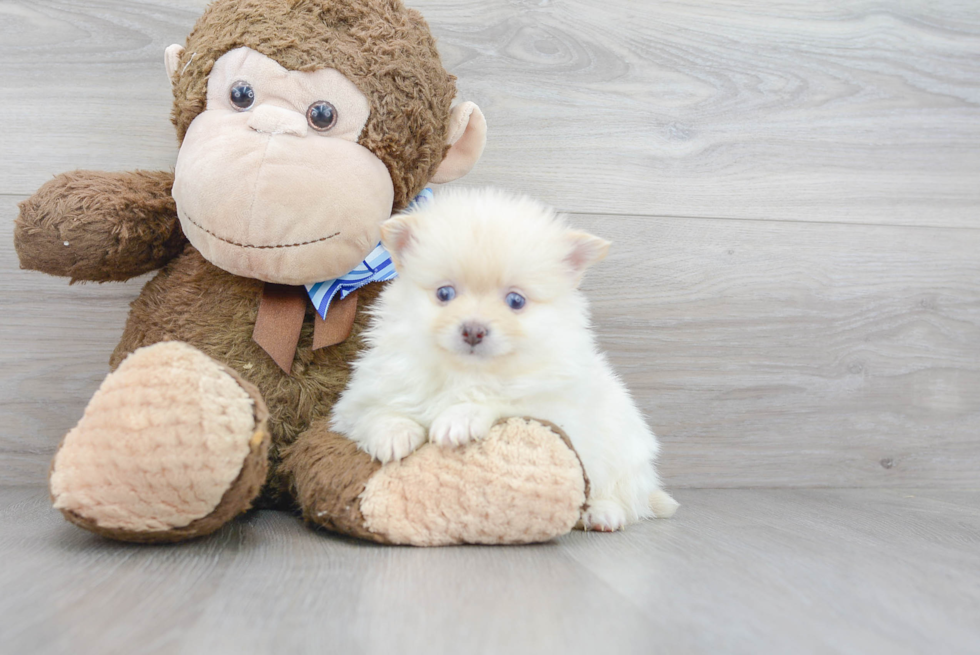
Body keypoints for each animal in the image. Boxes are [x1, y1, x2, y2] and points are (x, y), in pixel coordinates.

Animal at [334, 187, 676, 532]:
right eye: (444, 294)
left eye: (515, 301)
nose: (473, 330)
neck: (465, 373)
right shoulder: (364, 394)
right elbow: (374, 412)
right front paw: (393, 434)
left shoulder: (554, 407)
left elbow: (503, 400)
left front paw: (459, 418)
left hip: (625, 453)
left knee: (624, 497)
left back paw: (603, 513)